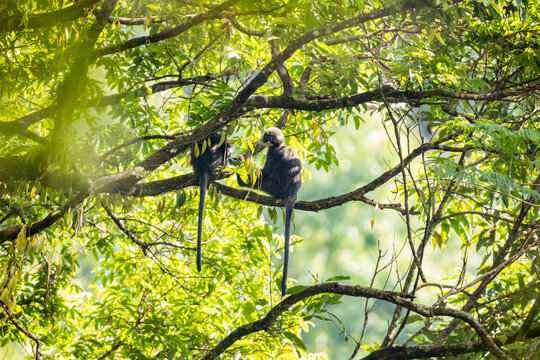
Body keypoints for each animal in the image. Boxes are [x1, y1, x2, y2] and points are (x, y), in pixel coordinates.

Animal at [237, 126, 302, 296]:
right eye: (267, 136)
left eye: (272, 139)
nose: (267, 140)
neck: (279, 146)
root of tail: (293, 192)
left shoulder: (273, 153)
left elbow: (263, 174)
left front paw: (243, 161)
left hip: (274, 188)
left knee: (261, 179)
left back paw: (241, 181)